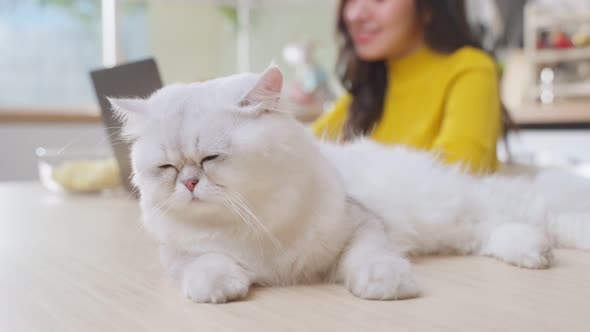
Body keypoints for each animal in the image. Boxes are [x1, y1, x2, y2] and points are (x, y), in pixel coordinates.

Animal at [110, 64, 588, 304]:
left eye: (210, 159)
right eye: (167, 168)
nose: (189, 184)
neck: (253, 225)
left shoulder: (361, 224)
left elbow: (368, 256)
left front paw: (385, 285)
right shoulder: (178, 254)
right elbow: (204, 264)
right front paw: (222, 287)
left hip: (463, 208)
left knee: (534, 211)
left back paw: (549, 245)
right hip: (456, 227)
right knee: (495, 231)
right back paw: (533, 252)